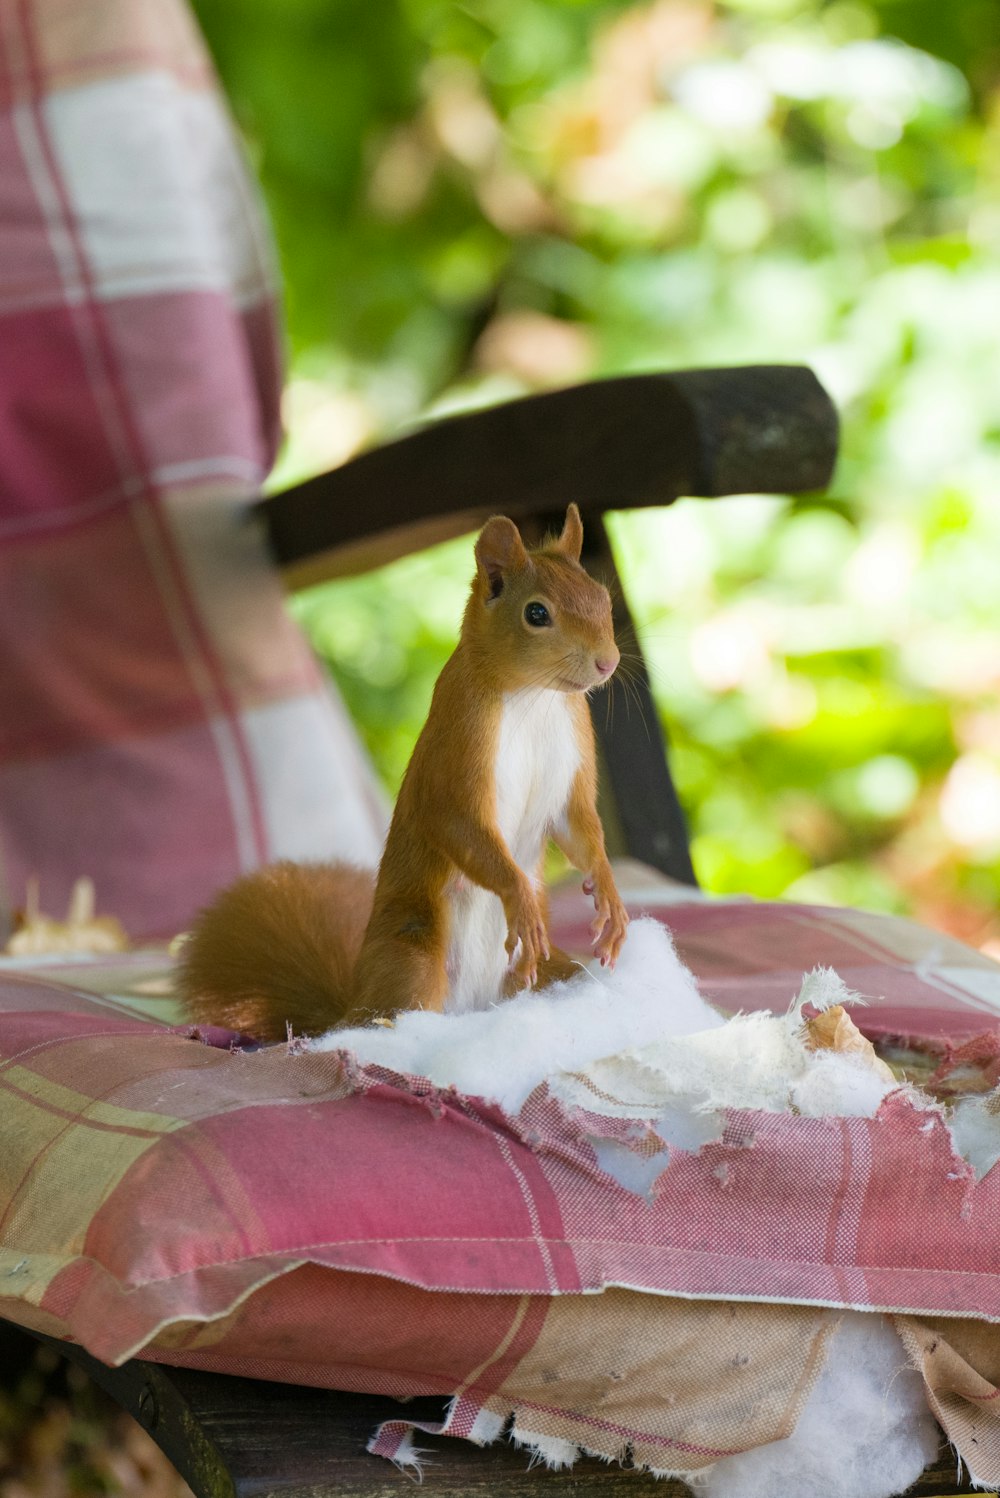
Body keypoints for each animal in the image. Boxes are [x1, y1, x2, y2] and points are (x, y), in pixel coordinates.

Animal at [179, 503, 628, 1042]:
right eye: (536, 613)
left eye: (601, 597)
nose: (607, 662)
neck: (534, 697)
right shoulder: (457, 746)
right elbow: (457, 823)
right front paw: (520, 900)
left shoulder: (571, 761)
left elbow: (580, 828)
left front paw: (609, 895)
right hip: (414, 957)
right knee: (383, 1017)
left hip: (542, 969)